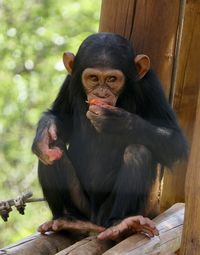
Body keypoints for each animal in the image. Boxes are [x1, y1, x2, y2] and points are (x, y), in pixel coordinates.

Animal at [31, 32, 188, 241]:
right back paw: (67, 219)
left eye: (112, 79)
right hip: (82, 206)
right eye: (93, 78)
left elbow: (175, 140)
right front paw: (45, 131)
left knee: (138, 151)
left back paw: (121, 223)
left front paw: (116, 121)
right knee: (52, 150)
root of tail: (95, 220)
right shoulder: (69, 81)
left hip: (112, 210)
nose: (101, 93)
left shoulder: (151, 84)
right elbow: (58, 115)